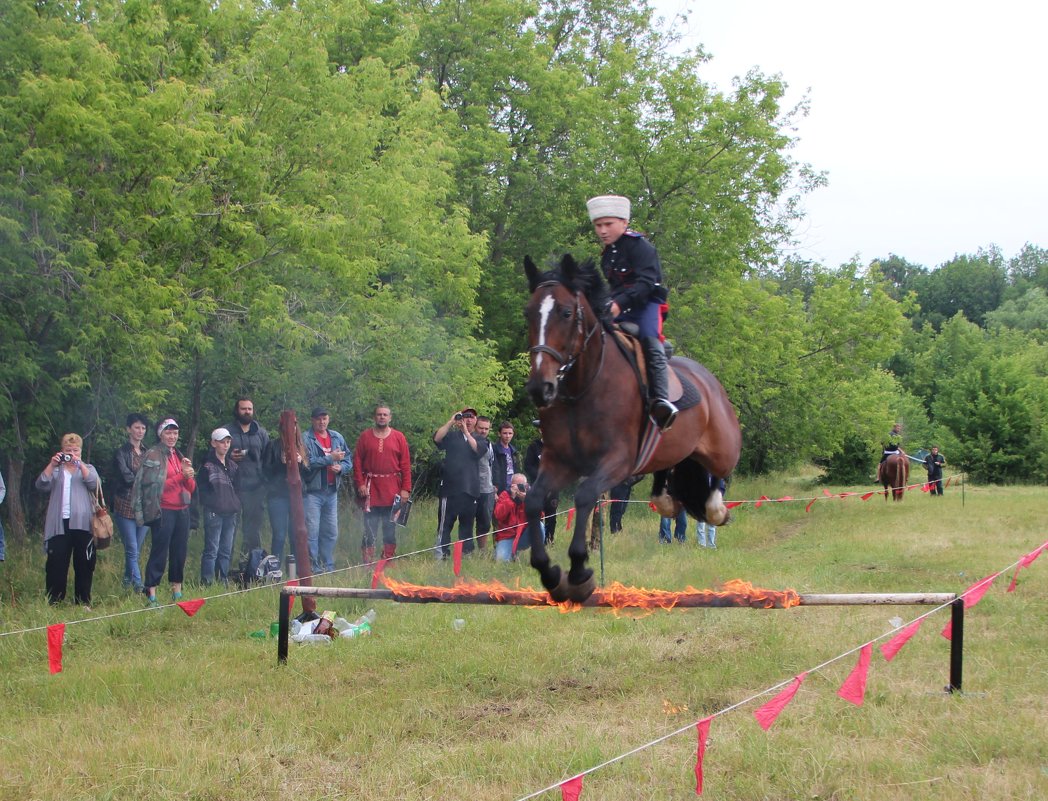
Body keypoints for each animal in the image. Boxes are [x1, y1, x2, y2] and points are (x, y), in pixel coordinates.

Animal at [521, 253, 737, 599]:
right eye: (529, 313)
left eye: (566, 313)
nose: (541, 388)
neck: (583, 388)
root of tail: (709, 380)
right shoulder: (559, 461)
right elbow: (533, 501)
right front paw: (551, 573)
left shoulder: (617, 461)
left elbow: (584, 496)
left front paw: (579, 570)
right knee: (669, 465)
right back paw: (665, 499)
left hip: (723, 448)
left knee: (721, 471)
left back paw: (716, 507)